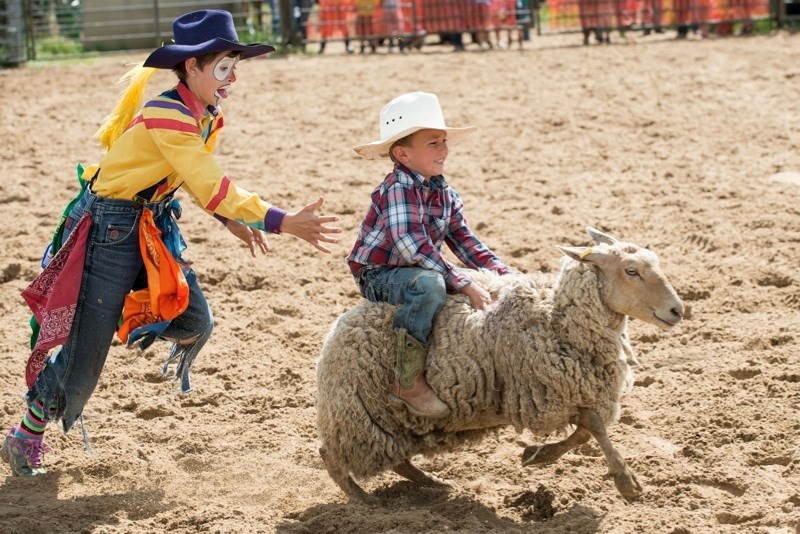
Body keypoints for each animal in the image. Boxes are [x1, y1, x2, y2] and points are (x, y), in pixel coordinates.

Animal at [316, 226, 684, 502]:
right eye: (631, 271)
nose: (678, 310)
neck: (557, 320)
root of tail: (333, 334)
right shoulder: (548, 391)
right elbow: (593, 426)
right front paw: (626, 482)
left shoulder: (574, 390)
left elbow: (584, 432)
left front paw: (537, 455)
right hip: (357, 415)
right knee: (331, 457)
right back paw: (364, 501)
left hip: (391, 422)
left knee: (397, 460)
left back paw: (434, 483)